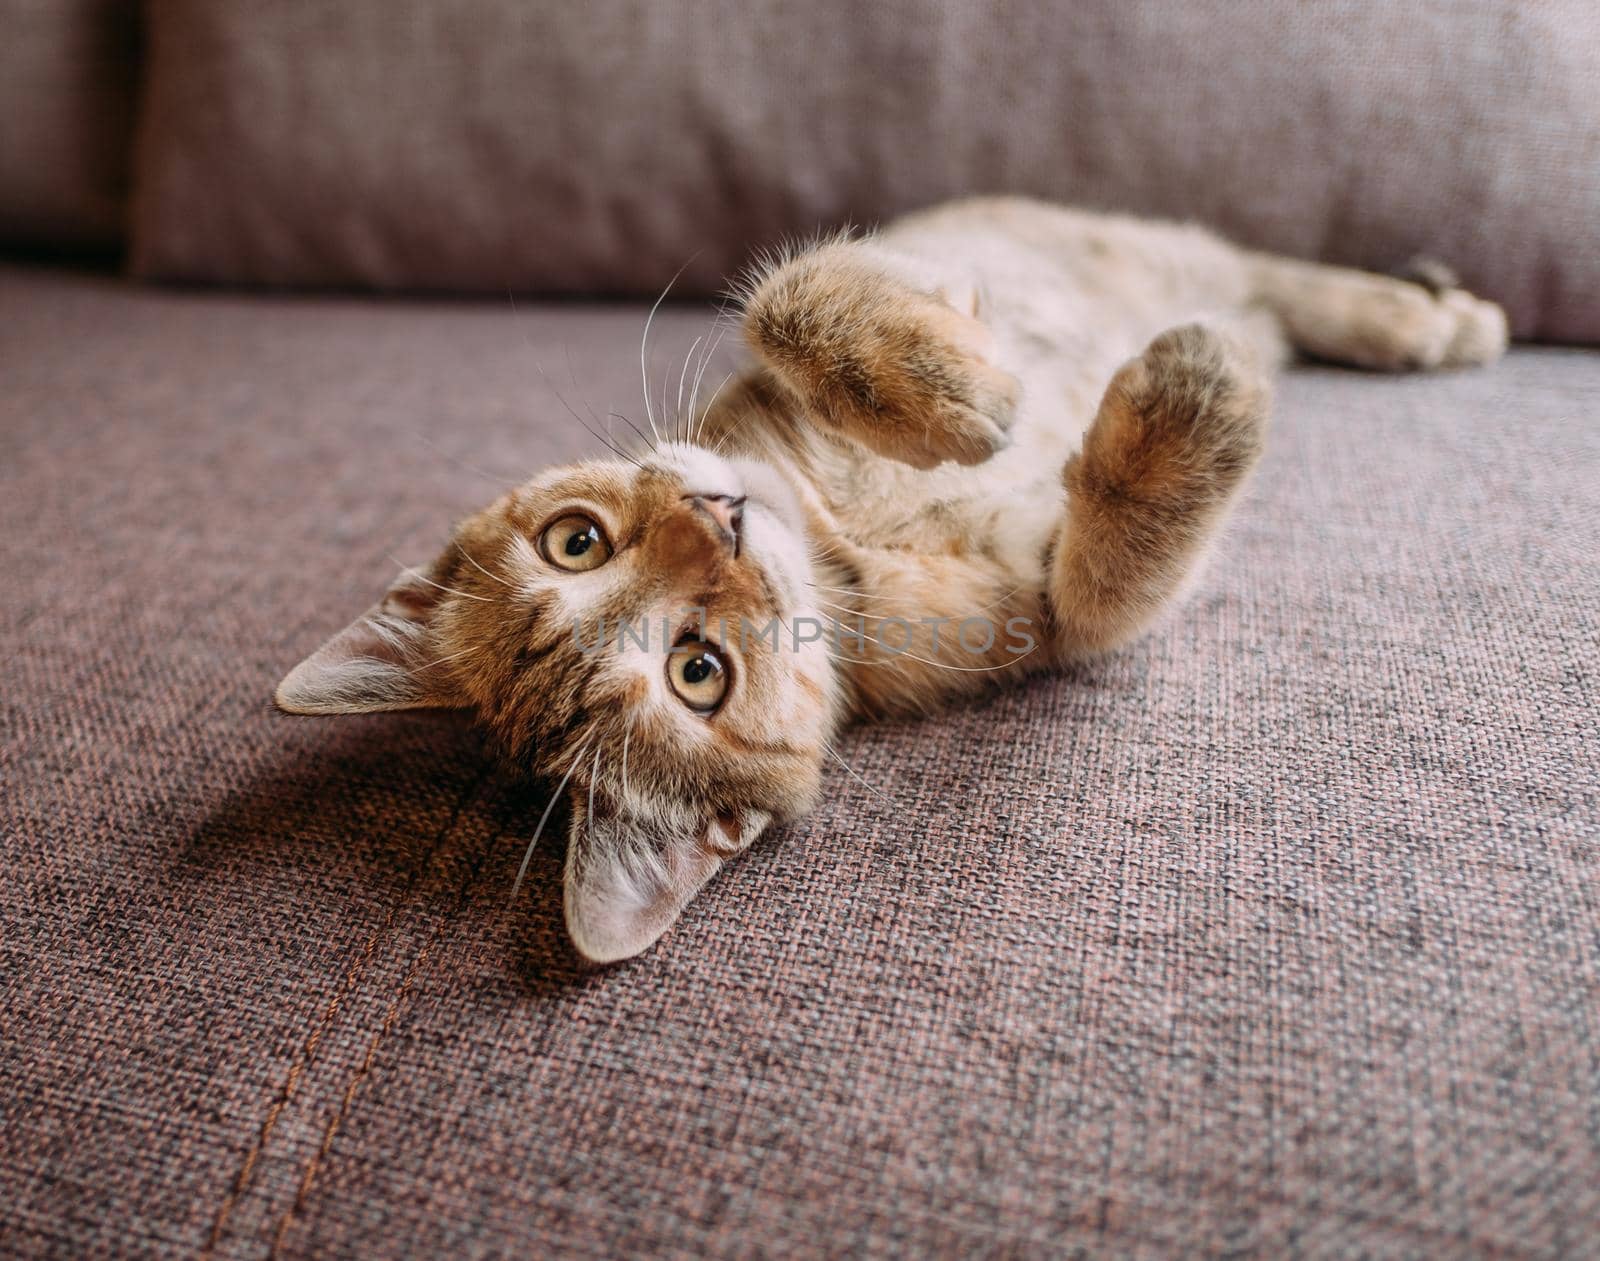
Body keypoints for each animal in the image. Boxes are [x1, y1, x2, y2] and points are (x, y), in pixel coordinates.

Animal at [278, 199, 1510, 966]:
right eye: (698, 674)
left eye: (573, 541)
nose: (716, 524)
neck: (842, 537)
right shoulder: (1045, 608)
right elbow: (1112, 579)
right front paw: (1188, 413)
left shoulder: (813, 315)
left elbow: (790, 291)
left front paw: (951, 390)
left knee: (1261, 265)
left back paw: (1423, 312)